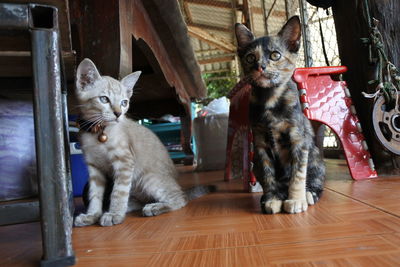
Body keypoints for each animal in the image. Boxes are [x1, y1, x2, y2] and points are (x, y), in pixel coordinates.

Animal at [75, 59, 212, 228]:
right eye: (104, 99)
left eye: (124, 102)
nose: (118, 114)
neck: (98, 133)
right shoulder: (94, 168)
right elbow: (95, 194)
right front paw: (92, 215)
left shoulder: (125, 162)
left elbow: (118, 192)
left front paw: (114, 214)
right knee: (143, 200)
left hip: (147, 178)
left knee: (180, 199)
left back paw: (155, 207)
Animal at [234, 15, 324, 215]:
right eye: (250, 58)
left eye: (275, 55)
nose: (260, 66)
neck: (269, 100)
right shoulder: (260, 145)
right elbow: (269, 177)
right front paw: (272, 198)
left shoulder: (298, 140)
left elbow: (298, 175)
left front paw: (296, 200)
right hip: (255, 162)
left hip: (314, 156)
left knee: (317, 181)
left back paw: (308, 194)